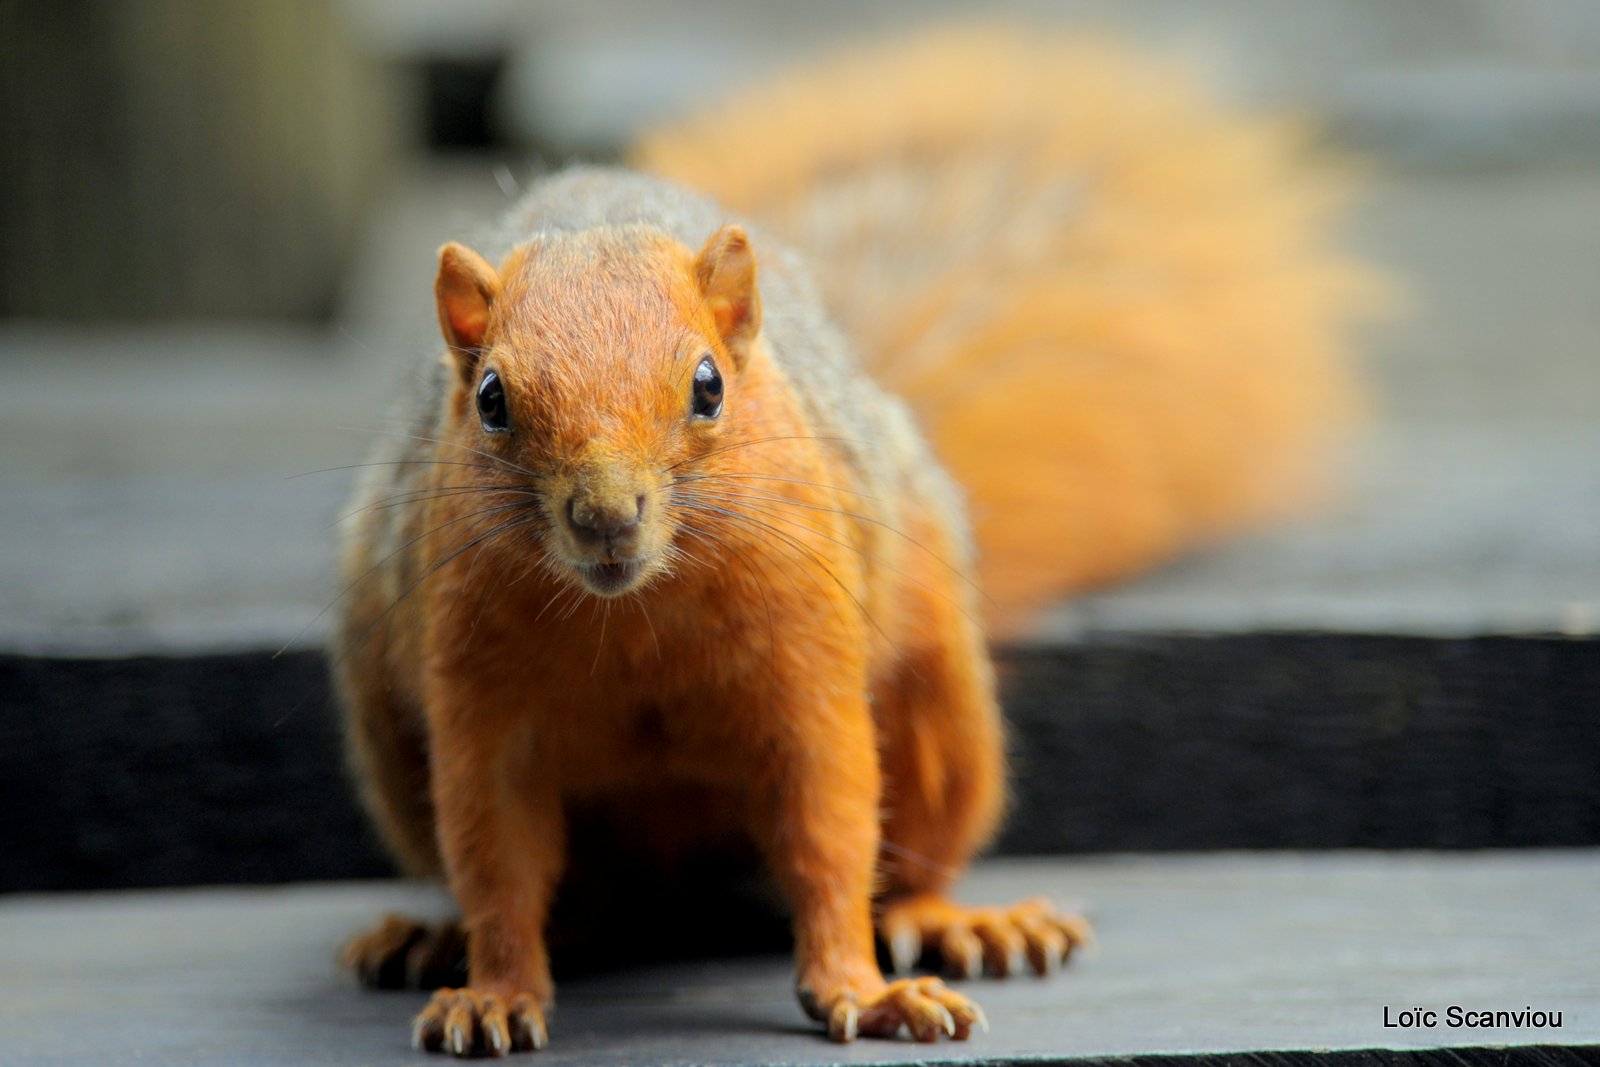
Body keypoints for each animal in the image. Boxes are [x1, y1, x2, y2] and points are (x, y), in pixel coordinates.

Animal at [331, 24, 1369, 1062]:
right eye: (491, 399)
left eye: (708, 384)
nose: (606, 517)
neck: (635, 614)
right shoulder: (477, 694)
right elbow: (495, 854)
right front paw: (495, 989)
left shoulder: (808, 665)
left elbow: (829, 827)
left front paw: (862, 990)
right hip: (390, 742)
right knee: (567, 902)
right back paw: (435, 938)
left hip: (944, 715)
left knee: (907, 858)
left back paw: (956, 921)